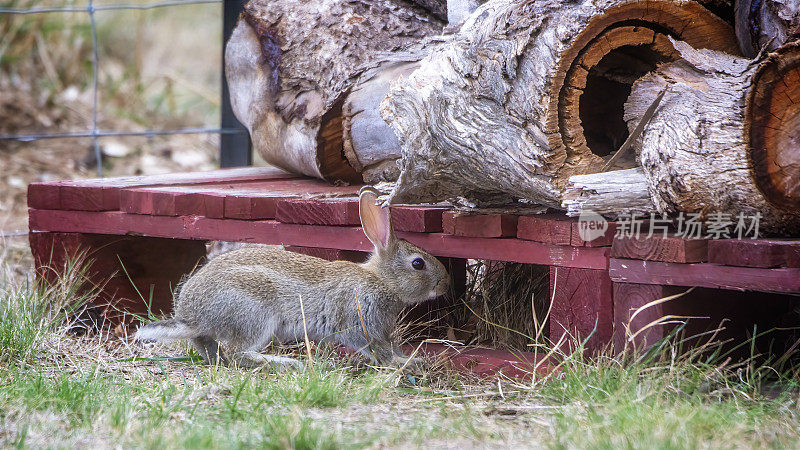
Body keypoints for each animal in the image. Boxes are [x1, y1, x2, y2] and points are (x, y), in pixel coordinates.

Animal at [137, 186, 450, 370]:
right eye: (418, 264)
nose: (446, 284)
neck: (382, 281)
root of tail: (192, 315)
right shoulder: (360, 322)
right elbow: (377, 349)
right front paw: (404, 363)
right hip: (255, 314)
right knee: (237, 352)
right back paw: (285, 362)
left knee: (213, 351)